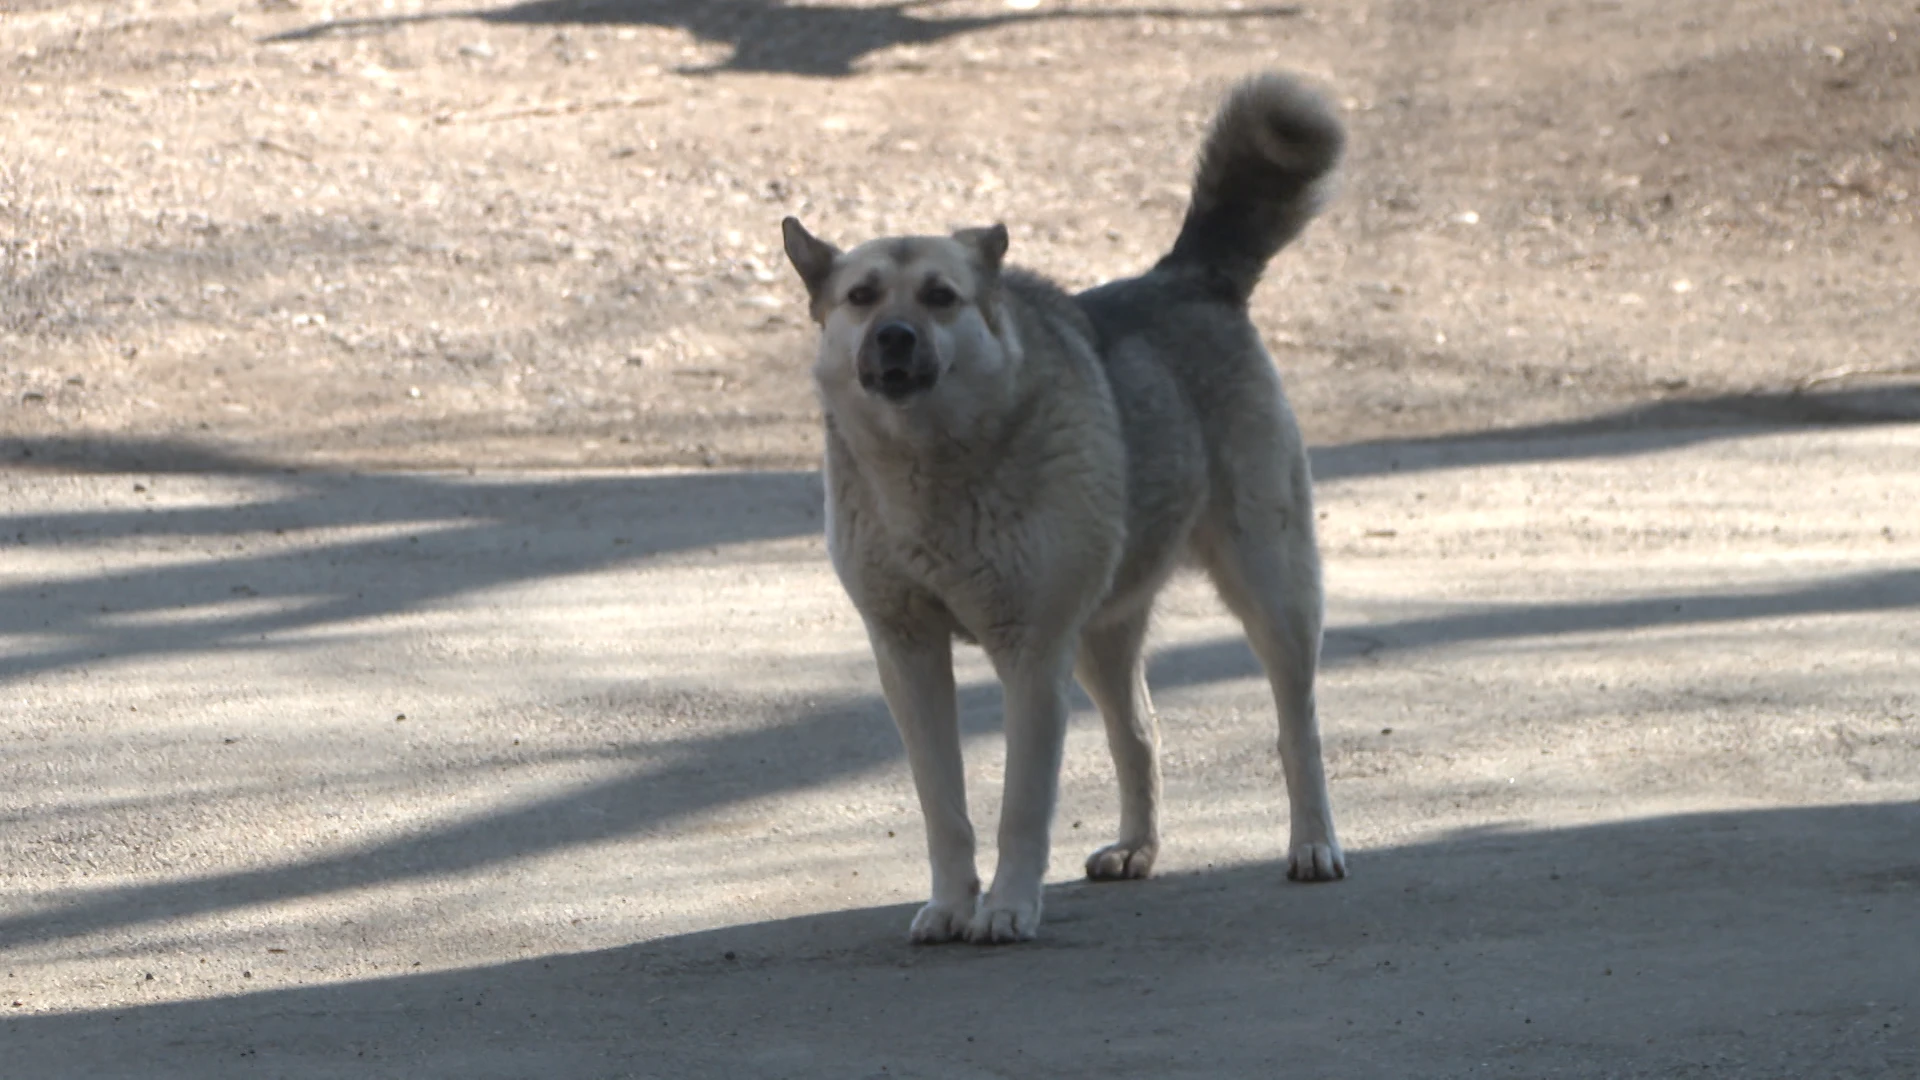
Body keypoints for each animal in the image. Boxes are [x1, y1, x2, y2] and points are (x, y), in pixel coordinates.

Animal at [779, 73, 1351, 941]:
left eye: (942, 297)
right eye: (861, 296)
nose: (895, 337)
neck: (935, 465)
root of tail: (1184, 277)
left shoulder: (1030, 655)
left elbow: (1020, 804)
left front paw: (1009, 906)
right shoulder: (907, 654)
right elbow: (943, 805)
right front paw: (953, 903)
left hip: (1272, 589)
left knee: (1298, 728)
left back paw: (1314, 842)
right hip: (1101, 633)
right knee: (1139, 733)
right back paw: (1137, 846)